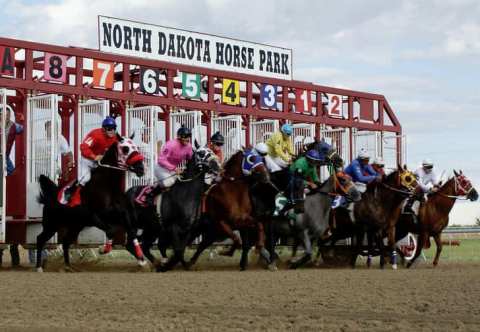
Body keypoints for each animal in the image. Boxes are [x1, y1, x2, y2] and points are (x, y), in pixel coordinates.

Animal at [35, 136, 145, 272]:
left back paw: (68, 266)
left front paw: (141, 259)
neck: (107, 186)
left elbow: (131, 232)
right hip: (51, 225)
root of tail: (51, 196)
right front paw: (104, 249)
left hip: (75, 225)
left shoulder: (120, 215)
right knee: (40, 239)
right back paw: (39, 267)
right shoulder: (94, 216)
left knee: (65, 241)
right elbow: (111, 231)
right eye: (125, 149)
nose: (141, 168)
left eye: (136, 147)